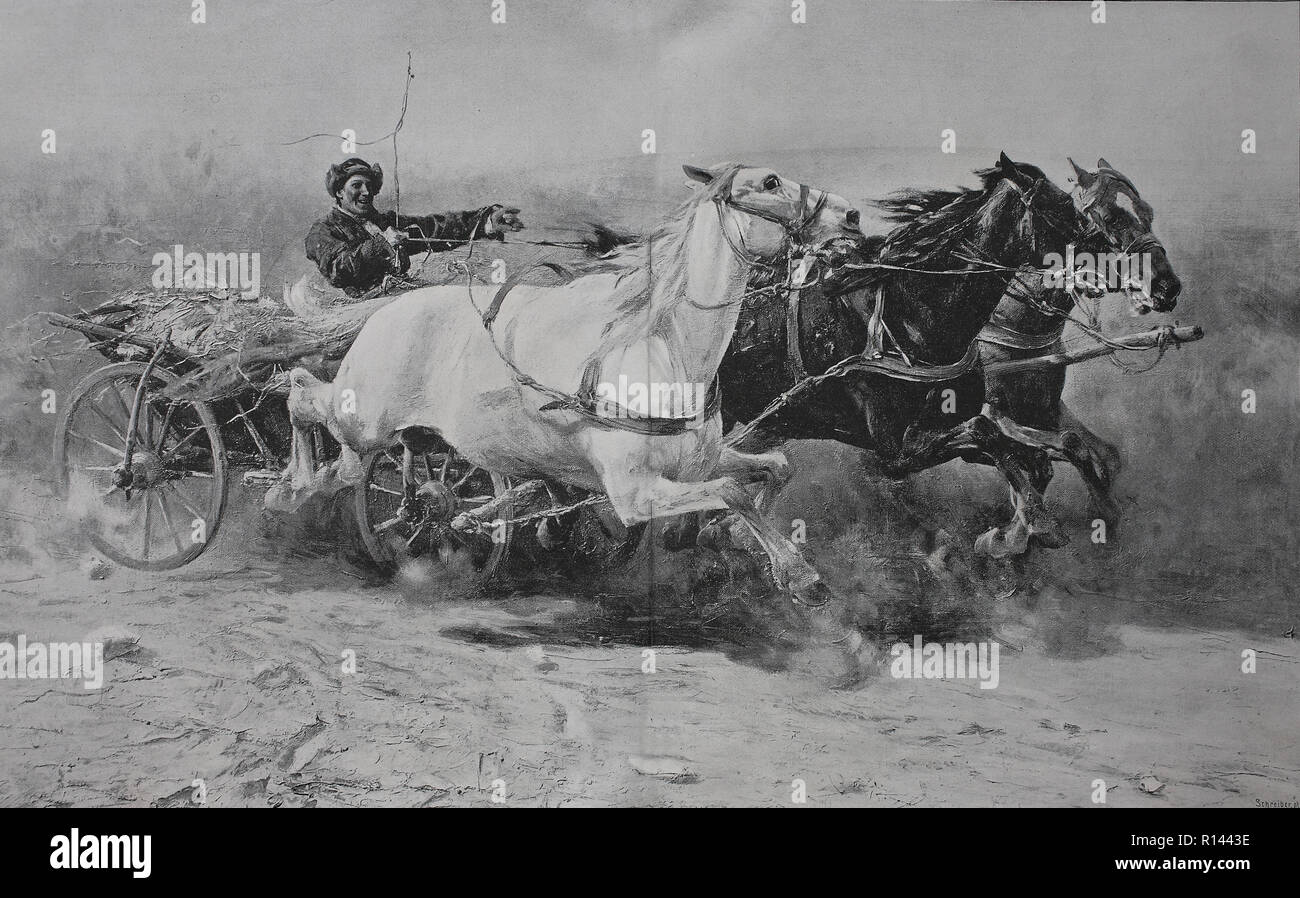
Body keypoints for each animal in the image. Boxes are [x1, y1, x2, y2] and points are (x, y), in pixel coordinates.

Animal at [275, 163, 863, 639]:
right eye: (769, 182)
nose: (854, 215)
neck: (662, 347)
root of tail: (379, 313)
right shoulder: (632, 494)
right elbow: (731, 492)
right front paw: (796, 573)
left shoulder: (697, 462)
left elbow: (775, 468)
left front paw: (747, 544)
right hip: (361, 420)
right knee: (304, 398)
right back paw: (288, 489)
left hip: (395, 437)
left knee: (361, 463)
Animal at [717, 152, 1185, 556]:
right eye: (1080, 213)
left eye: (1146, 212)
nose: (1166, 286)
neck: (912, 317)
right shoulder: (897, 452)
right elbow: (995, 436)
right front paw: (1023, 530)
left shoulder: (1026, 412)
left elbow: (1060, 450)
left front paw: (1081, 515)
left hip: (770, 421)